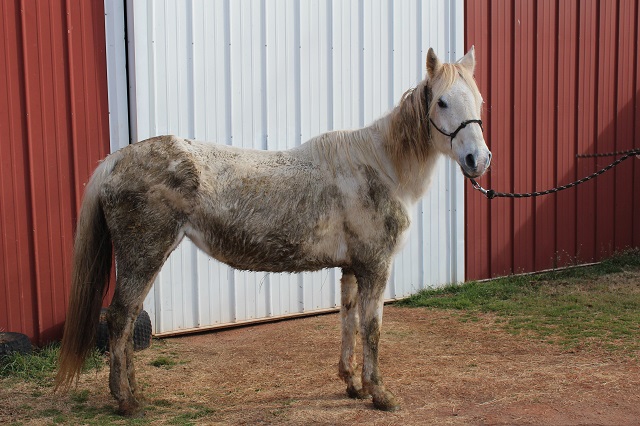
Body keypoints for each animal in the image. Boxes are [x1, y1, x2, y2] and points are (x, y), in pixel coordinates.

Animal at [57, 47, 492, 416]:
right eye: (441, 101)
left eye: (479, 100)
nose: (479, 159)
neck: (378, 166)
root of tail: (115, 160)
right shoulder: (375, 266)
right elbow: (372, 329)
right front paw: (380, 394)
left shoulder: (352, 269)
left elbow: (348, 320)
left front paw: (352, 384)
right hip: (143, 256)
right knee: (120, 319)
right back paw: (126, 401)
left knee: (129, 321)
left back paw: (134, 393)